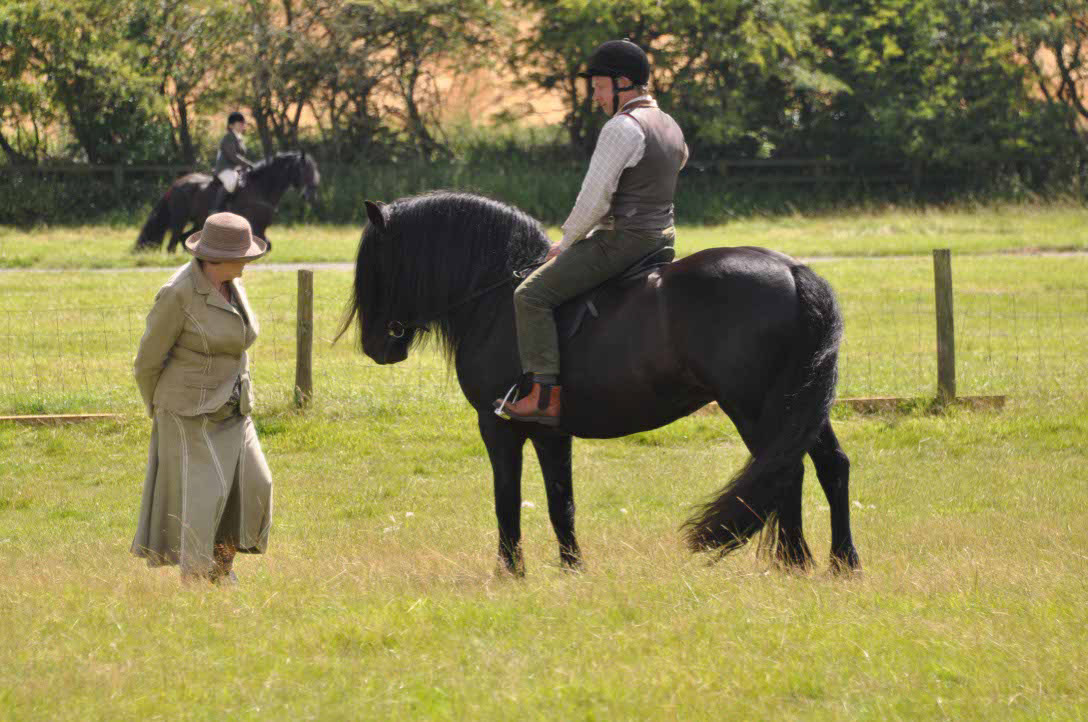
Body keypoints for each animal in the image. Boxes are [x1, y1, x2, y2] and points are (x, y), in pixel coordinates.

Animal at [133, 151, 320, 252]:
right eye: (306, 170)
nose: (311, 196)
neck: (261, 188)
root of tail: (176, 184)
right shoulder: (257, 228)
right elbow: (263, 246)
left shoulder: (261, 229)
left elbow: (266, 246)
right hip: (180, 219)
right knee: (172, 244)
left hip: (198, 222)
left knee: (184, 239)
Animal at [339, 191, 860, 576]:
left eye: (376, 264)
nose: (376, 346)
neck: (496, 299)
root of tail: (794, 270)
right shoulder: (551, 432)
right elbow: (560, 502)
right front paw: (573, 569)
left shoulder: (498, 427)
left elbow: (506, 500)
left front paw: (509, 573)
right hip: (797, 404)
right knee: (828, 465)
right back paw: (838, 563)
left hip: (755, 408)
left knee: (785, 471)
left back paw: (795, 562)